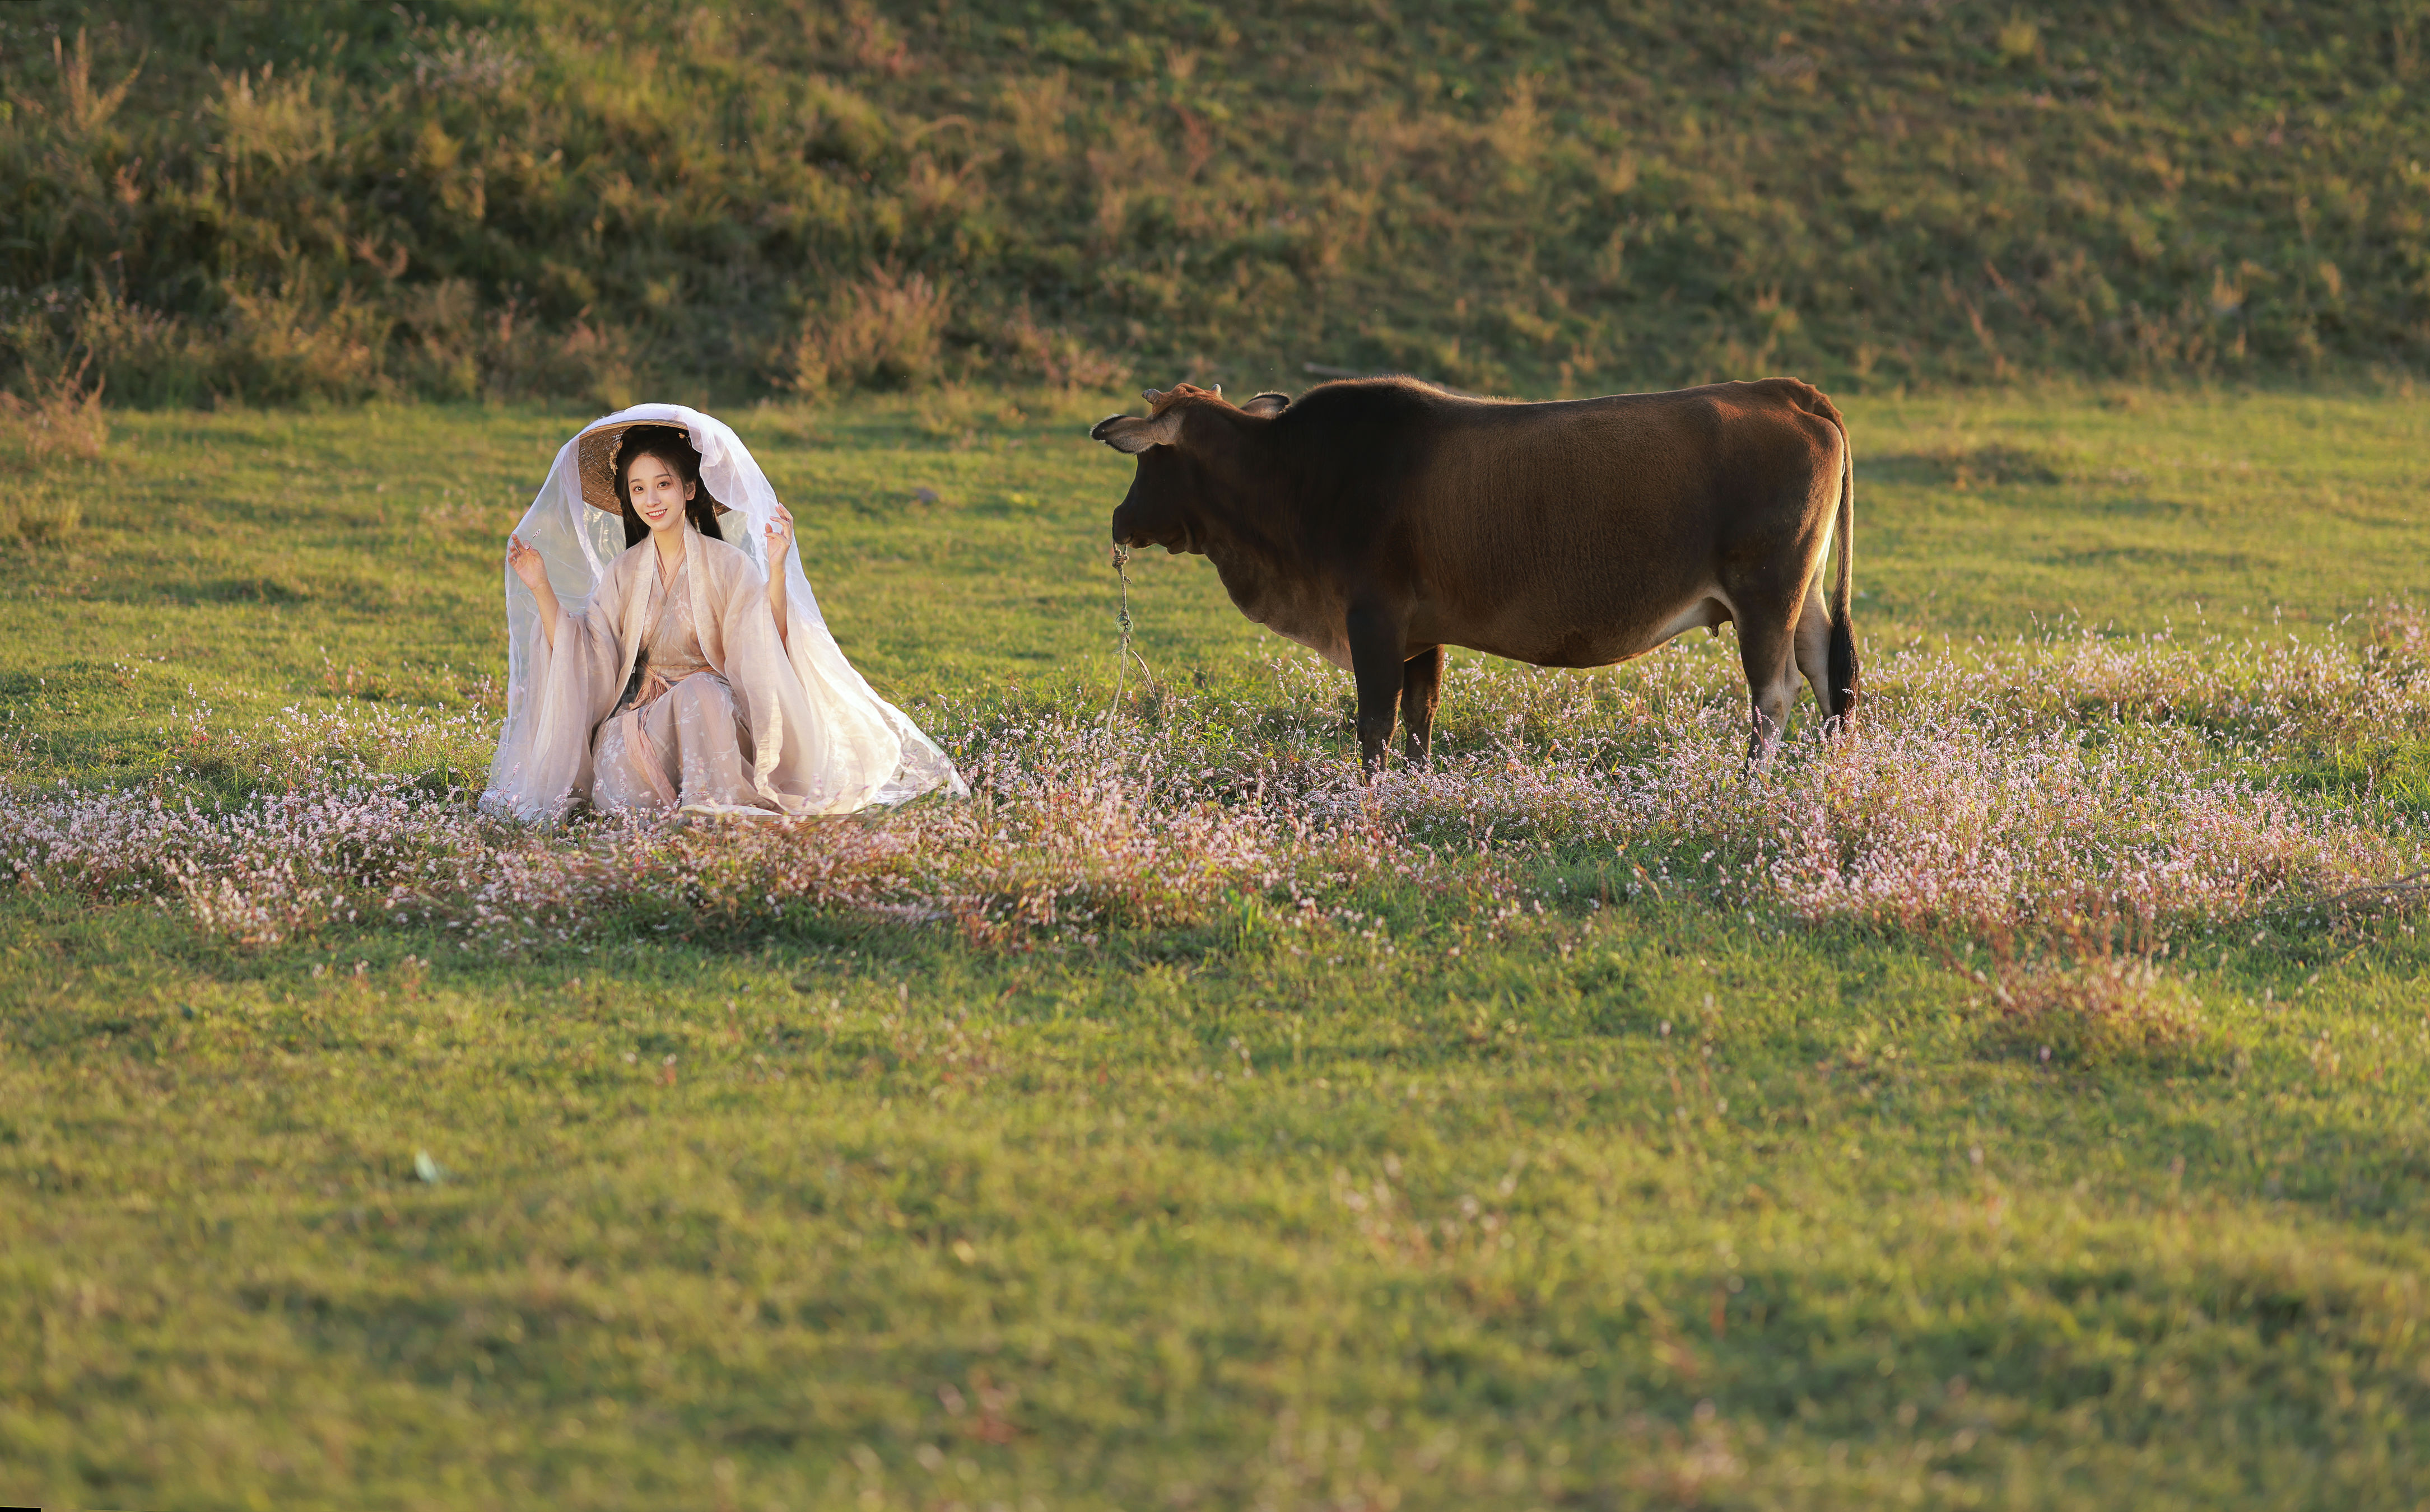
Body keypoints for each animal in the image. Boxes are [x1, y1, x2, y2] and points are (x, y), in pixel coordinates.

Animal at [1088, 374, 1856, 778]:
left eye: (1147, 460)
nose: (1120, 518)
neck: (1294, 475)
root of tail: (1787, 392)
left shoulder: (1373, 619)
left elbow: (1376, 721)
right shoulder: (1421, 633)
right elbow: (1421, 717)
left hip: (1767, 594)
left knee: (1775, 694)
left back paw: (1750, 783)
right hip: (1804, 596)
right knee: (1831, 674)